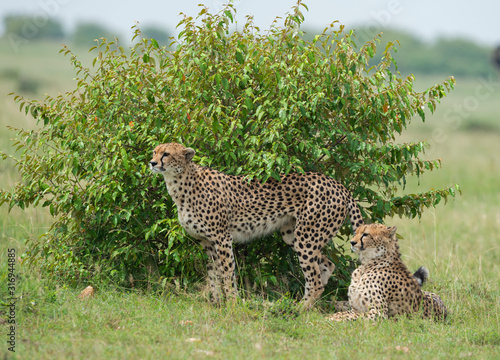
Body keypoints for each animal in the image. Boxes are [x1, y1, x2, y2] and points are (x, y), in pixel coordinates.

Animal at [148, 142, 364, 308]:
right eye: (154, 152)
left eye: (166, 154)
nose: (152, 163)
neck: (181, 182)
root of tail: (338, 185)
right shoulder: (207, 242)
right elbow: (213, 275)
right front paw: (217, 304)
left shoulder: (222, 238)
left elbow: (227, 273)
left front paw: (232, 304)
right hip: (293, 235)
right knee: (327, 265)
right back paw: (310, 307)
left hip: (306, 237)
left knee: (315, 279)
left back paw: (298, 310)